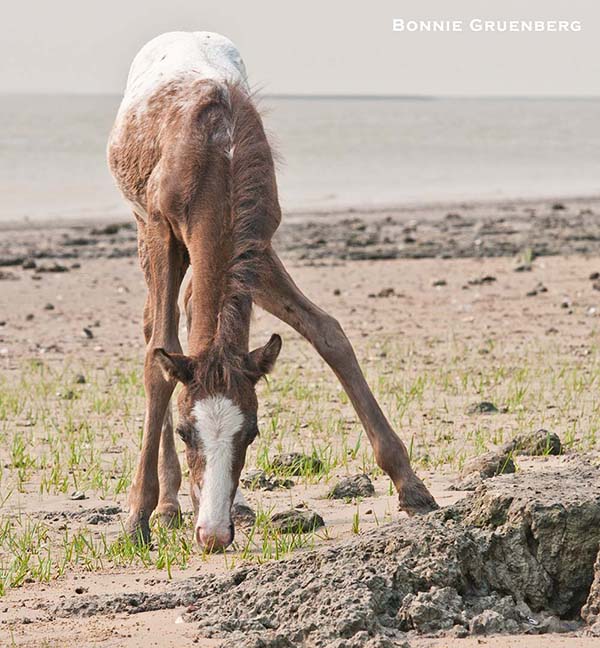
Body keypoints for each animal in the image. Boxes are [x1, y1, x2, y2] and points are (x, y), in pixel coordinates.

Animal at [108, 29, 436, 548]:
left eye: (252, 432)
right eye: (184, 432)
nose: (213, 535)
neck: (217, 159)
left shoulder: (257, 246)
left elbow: (328, 331)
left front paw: (411, 485)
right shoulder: (161, 230)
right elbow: (158, 359)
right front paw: (139, 515)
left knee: (191, 310)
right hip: (143, 227)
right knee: (157, 330)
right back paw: (169, 506)